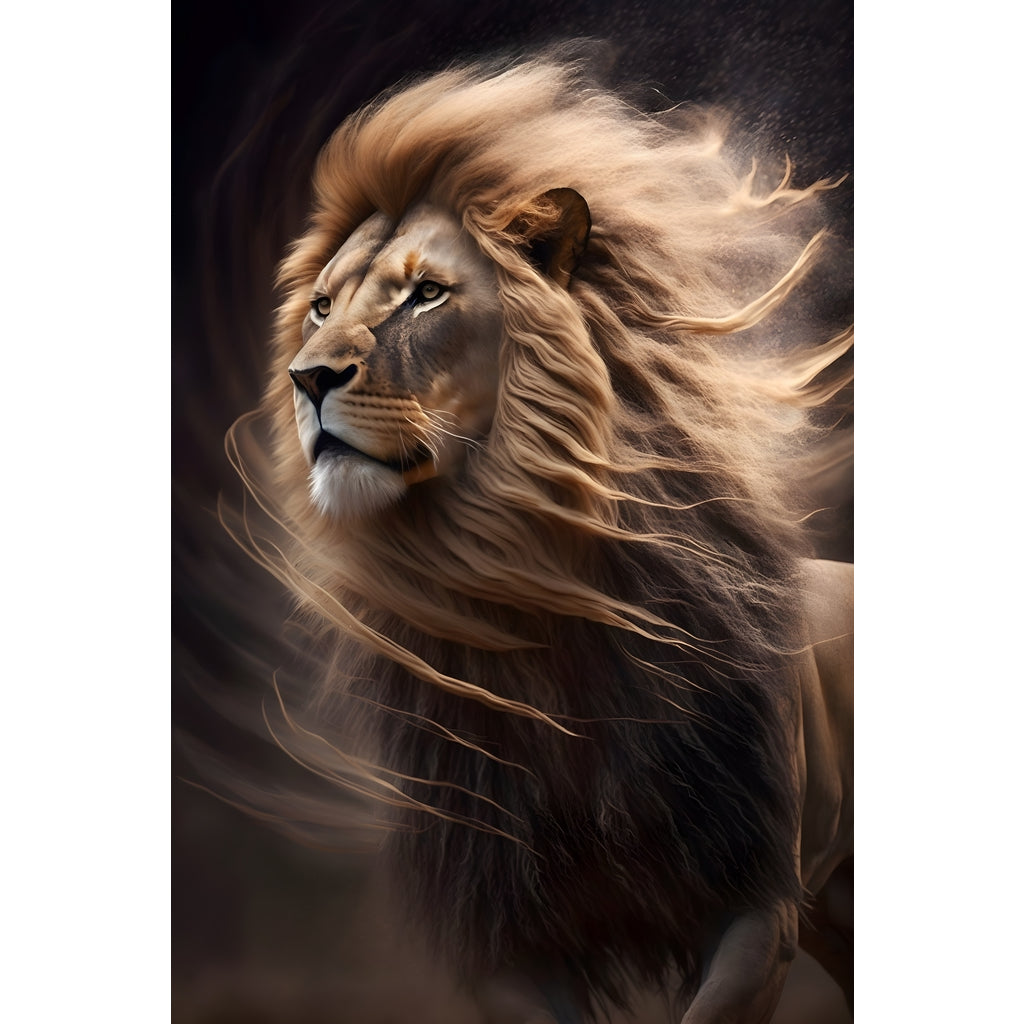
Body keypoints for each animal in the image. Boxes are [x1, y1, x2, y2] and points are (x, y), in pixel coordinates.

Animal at [224, 50, 853, 1024]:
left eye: (426, 294)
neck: (529, 604)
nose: (308, 377)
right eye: (321, 305)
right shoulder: (506, 931)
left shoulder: (753, 898)